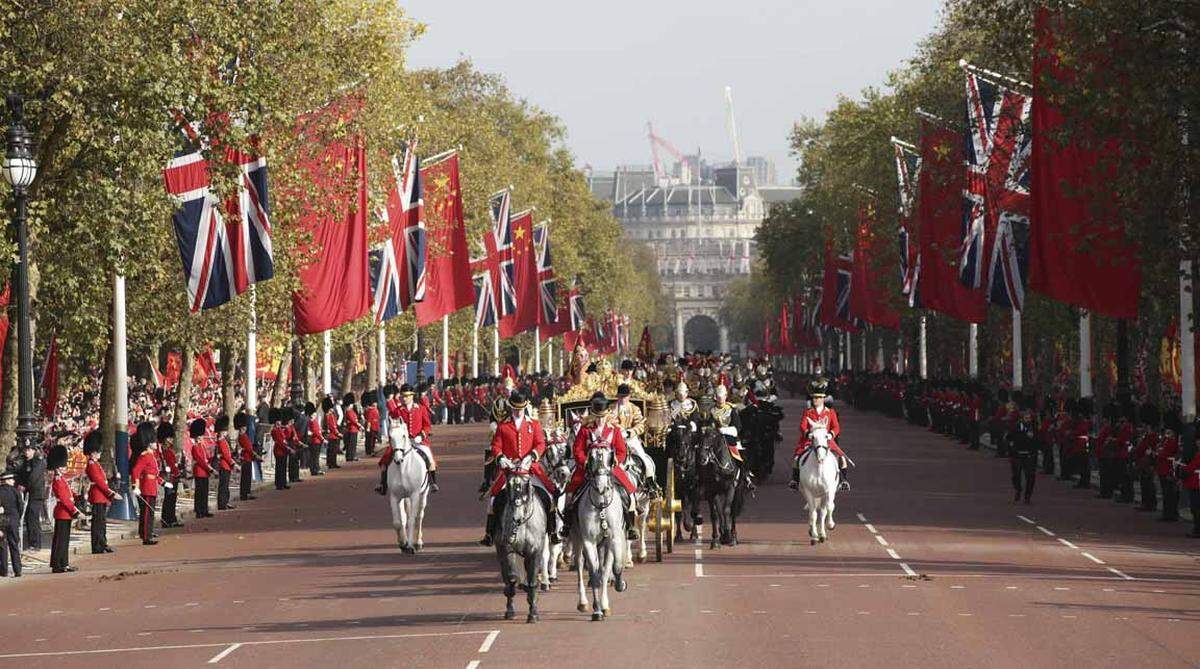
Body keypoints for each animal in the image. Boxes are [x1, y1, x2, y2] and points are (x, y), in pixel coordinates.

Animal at [386, 424, 429, 556]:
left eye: (404, 436)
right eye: (390, 437)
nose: (398, 459)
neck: (403, 470)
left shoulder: (414, 495)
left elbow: (412, 521)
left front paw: (410, 546)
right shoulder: (394, 496)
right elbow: (398, 522)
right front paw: (402, 543)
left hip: (423, 494)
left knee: (419, 516)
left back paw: (418, 542)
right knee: (405, 516)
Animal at [494, 453, 549, 628]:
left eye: (525, 484)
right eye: (509, 485)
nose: (516, 518)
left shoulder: (535, 551)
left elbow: (532, 581)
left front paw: (533, 613)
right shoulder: (506, 548)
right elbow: (511, 577)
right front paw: (510, 609)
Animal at [573, 446, 628, 623]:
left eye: (610, 458)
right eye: (591, 458)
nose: (601, 487)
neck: (601, 505)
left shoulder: (613, 539)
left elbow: (612, 568)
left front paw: (617, 587)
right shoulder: (588, 541)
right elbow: (594, 573)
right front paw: (597, 610)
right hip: (577, 538)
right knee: (579, 564)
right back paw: (583, 602)